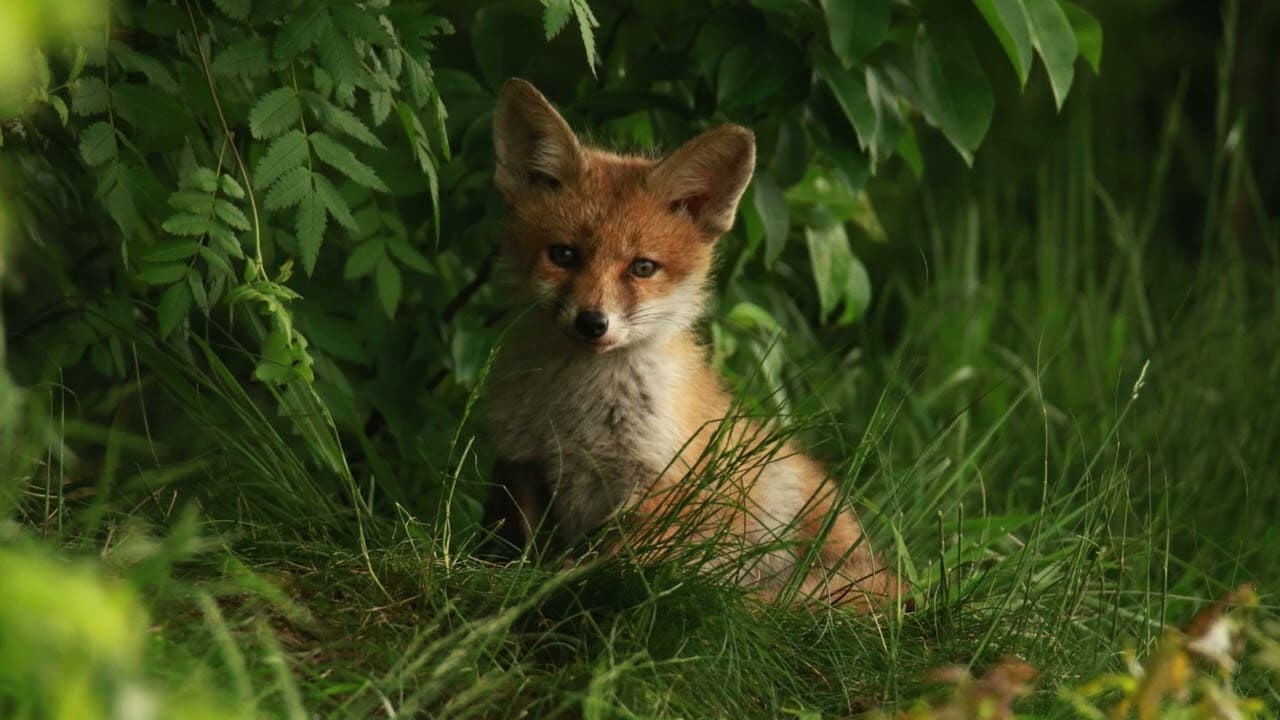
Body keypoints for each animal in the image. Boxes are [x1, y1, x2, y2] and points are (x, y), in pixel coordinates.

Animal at [481, 78, 911, 609]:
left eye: (643, 267)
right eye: (563, 255)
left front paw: (567, 584)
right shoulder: (523, 460)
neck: (574, 412)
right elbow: (522, 545)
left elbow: (613, 563)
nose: (592, 322)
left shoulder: (663, 484)